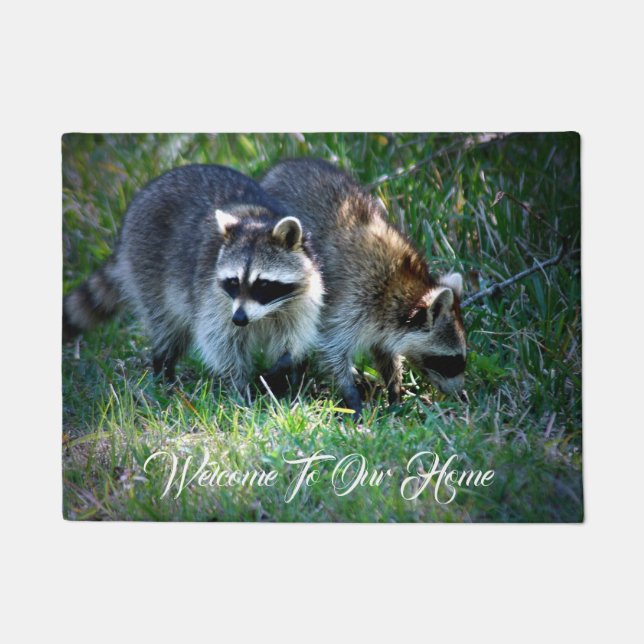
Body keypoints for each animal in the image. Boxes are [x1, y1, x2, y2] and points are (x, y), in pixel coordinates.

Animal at [63, 164, 323, 396]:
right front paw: (240, 386)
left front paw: (285, 368)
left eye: (264, 284)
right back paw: (163, 370)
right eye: (233, 282)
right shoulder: (214, 298)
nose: (239, 319)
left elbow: (295, 337)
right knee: (167, 325)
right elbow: (220, 342)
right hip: (147, 266)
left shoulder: (302, 297)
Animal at [261, 158, 466, 418]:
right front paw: (351, 396)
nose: (462, 396)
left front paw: (394, 392)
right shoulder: (351, 300)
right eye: (451, 361)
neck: (400, 286)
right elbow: (332, 348)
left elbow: (385, 353)